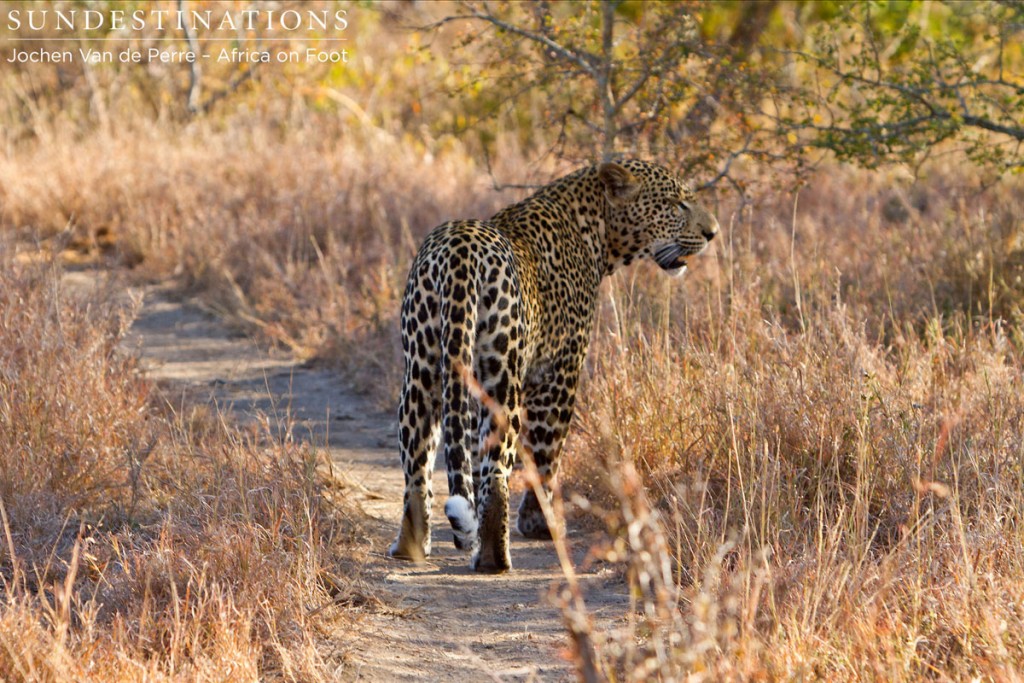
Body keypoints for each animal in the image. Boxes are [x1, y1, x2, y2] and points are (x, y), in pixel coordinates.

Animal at [387, 158, 716, 573]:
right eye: (676, 204)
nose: (712, 233)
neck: (596, 231)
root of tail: (461, 249)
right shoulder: (559, 375)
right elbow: (546, 456)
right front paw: (540, 523)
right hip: (502, 373)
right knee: (497, 469)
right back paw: (494, 557)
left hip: (422, 364)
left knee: (417, 461)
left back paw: (410, 548)